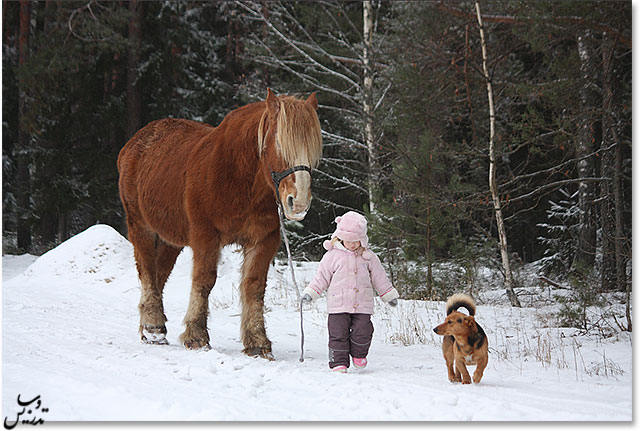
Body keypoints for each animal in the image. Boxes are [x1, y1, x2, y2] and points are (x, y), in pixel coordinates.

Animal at [117, 89, 322, 360]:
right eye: (280, 143)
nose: (298, 203)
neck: (239, 177)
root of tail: (134, 144)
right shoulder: (206, 235)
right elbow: (204, 281)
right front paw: (196, 335)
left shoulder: (263, 239)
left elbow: (254, 286)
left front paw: (257, 341)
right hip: (140, 226)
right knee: (148, 271)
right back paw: (153, 325)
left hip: (171, 239)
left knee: (160, 274)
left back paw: (151, 326)